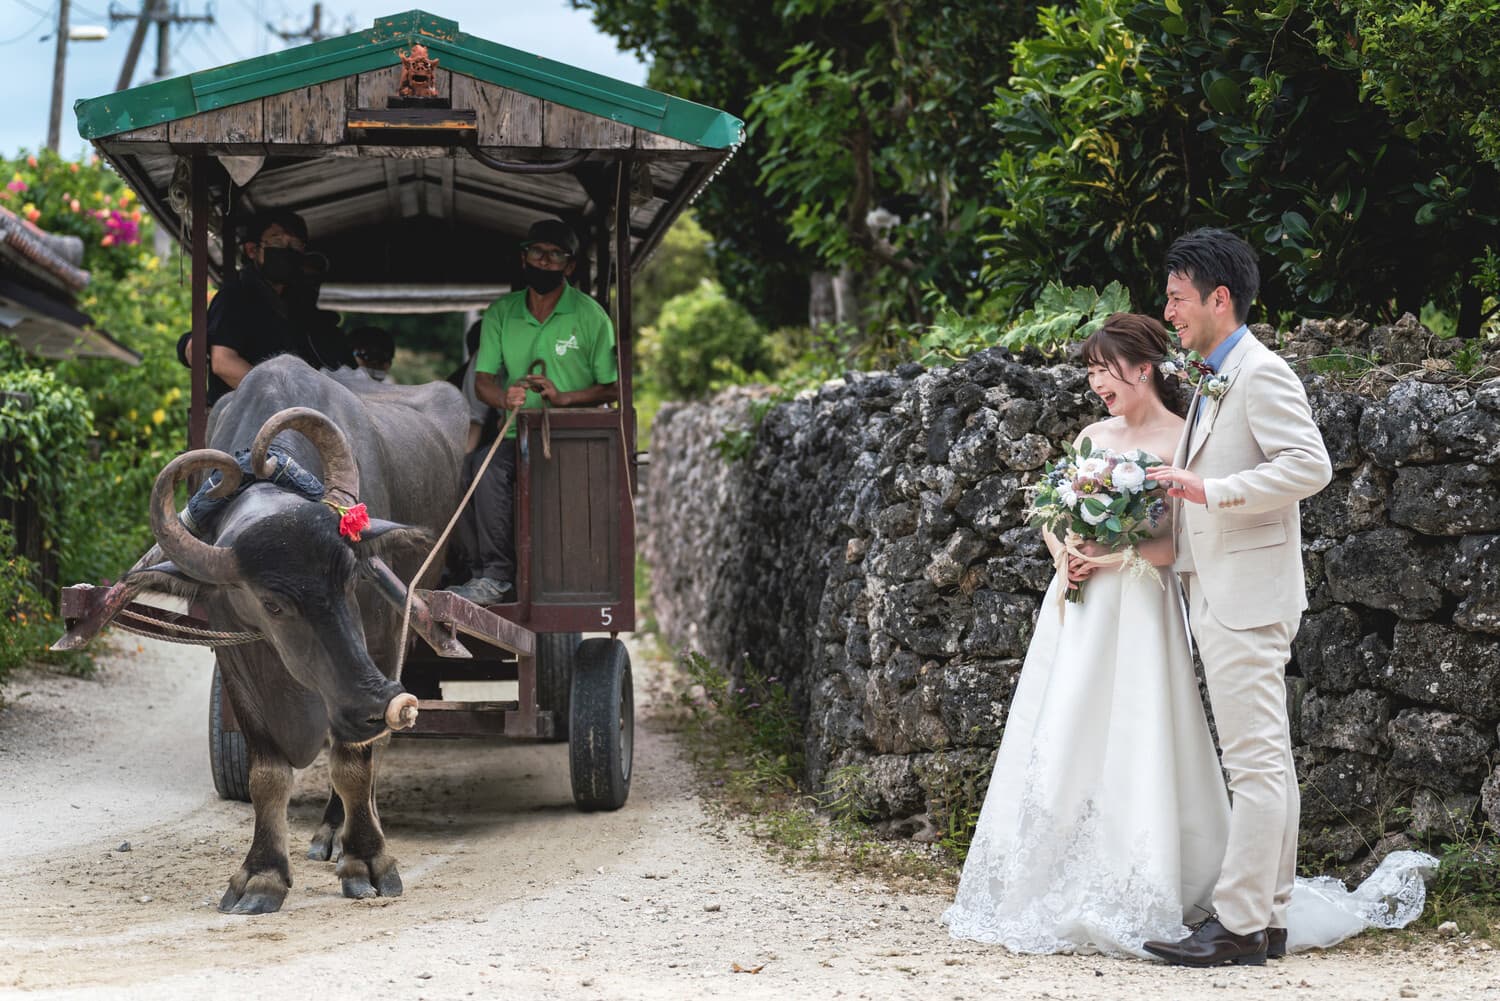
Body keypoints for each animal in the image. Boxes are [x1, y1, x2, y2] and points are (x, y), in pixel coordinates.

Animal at [129, 355, 462, 912]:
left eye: (351, 573)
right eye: (272, 603)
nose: (379, 701)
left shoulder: (377, 647)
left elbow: (353, 760)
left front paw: (367, 860)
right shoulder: (234, 658)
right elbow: (267, 773)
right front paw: (261, 875)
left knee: (366, 748)